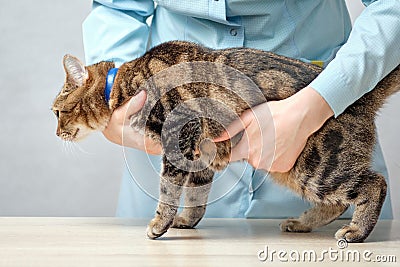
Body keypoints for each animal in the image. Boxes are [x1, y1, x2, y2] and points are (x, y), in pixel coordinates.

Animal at [53, 39, 400, 243]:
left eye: (57, 112)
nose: (56, 133)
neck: (124, 81)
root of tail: (362, 99)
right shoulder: (201, 154)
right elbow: (196, 197)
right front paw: (185, 221)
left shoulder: (180, 135)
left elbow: (168, 191)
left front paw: (160, 224)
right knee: (337, 202)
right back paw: (302, 223)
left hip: (316, 166)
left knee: (374, 184)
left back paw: (356, 231)